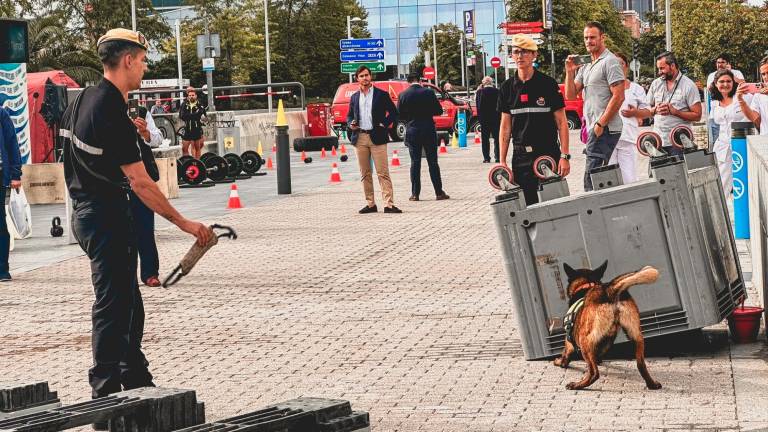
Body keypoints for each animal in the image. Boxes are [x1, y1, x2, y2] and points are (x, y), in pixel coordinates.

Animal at [552, 260, 664, 392]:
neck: (587, 285)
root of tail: (609, 289)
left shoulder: (569, 342)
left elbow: (565, 357)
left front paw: (559, 361)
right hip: (636, 335)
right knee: (641, 364)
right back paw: (652, 384)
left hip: (584, 340)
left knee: (594, 373)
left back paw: (577, 385)